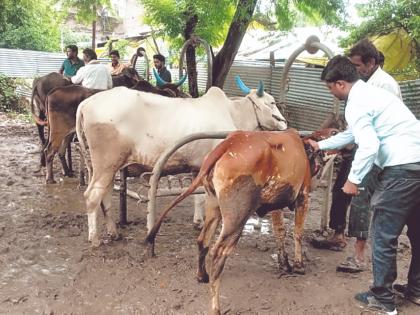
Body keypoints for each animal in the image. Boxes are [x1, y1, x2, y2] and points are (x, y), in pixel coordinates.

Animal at [146, 128, 336, 315]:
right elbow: (297, 233)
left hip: (214, 206)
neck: (306, 151)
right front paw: (299, 265)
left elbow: (279, 232)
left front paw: (285, 264)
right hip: (236, 218)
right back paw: (216, 307)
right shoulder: (303, 197)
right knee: (217, 253)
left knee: (202, 240)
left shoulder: (276, 204)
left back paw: (202, 276)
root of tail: (229, 143)